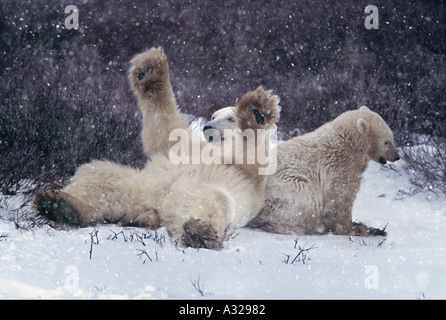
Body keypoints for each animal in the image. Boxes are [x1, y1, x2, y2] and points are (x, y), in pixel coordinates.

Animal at [35, 47, 278, 249]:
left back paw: (201, 232)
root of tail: (151, 208)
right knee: (97, 176)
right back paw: (59, 203)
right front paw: (149, 69)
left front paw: (257, 110)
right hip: (132, 185)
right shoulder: (181, 145)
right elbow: (164, 128)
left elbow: (251, 153)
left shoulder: (245, 175)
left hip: (203, 193)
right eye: (213, 115)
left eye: (229, 118)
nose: (207, 126)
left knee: (212, 201)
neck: (216, 147)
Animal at [204, 105, 398, 235]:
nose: (397, 156)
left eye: (392, 138)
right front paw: (359, 229)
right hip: (287, 190)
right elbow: (340, 198)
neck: (346, 140)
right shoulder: (340, 165)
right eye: (387, 141)